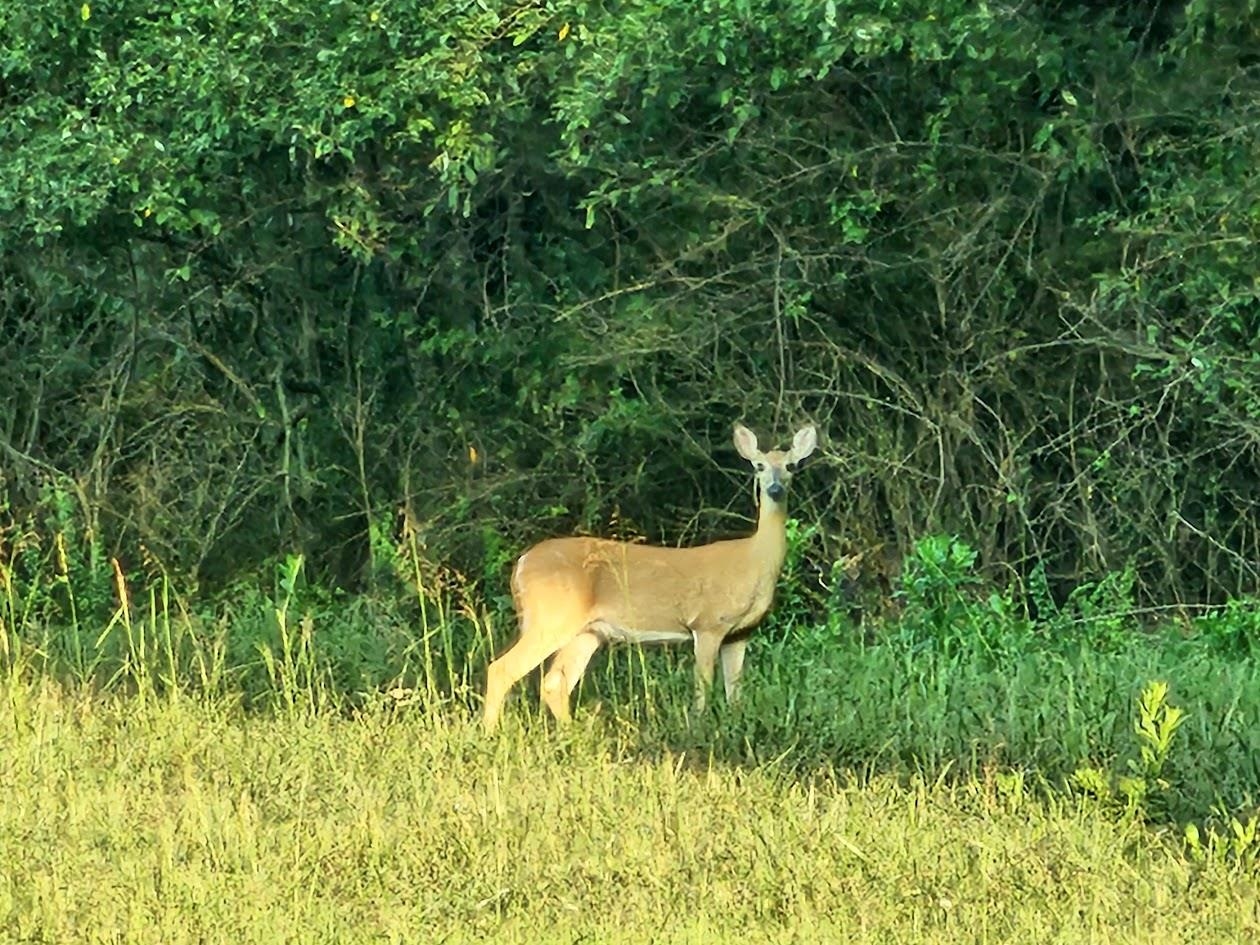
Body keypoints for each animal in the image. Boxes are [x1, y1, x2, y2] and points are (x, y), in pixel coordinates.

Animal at [478, 420, 816, 730]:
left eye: (791, 465)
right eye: (759, 466)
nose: (775, 488)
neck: (754, 560)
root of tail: (521, 564)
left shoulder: (739, 633)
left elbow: (735, 693)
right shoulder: (707, 623)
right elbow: (703, 687)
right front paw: (699, 727)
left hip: (587, 631)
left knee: (554, 682)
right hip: (551, 617)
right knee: (503, 669)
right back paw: (490, 733)